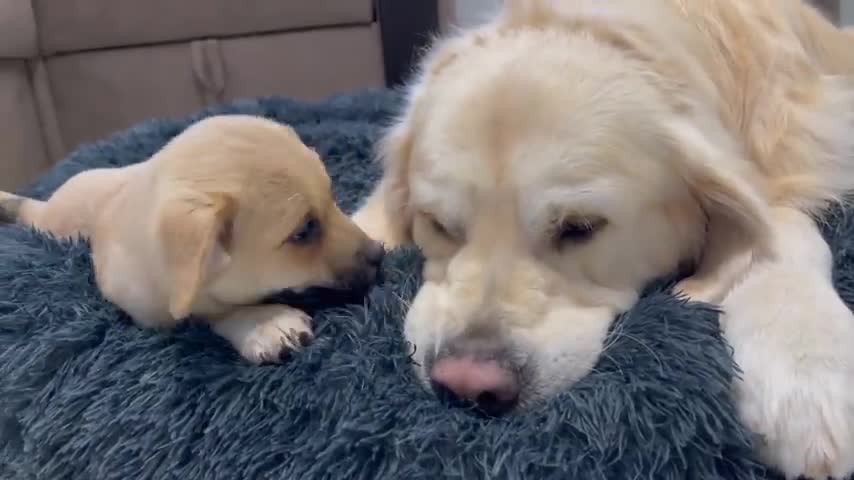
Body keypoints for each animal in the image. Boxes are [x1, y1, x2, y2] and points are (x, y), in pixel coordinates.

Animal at [2, 115, 384, 364]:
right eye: (303, 232)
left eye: (333, 198)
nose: (380, 256)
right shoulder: (149, 308)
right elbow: (208, 312)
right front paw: (264, 323)